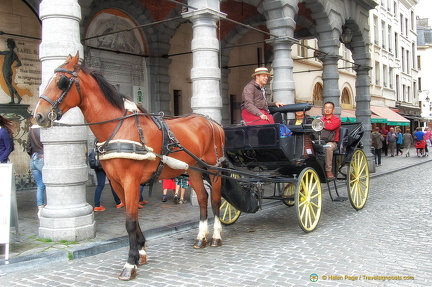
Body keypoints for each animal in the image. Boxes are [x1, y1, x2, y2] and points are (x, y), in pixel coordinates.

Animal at [33, 53, 226, 282]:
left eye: (61, 82)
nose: (38, 116)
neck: (119, 128)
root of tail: (213, 122)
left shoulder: (131, 180)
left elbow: (130, 222)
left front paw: (130, 262)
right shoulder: (116, 182)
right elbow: (131, 217)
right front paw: (140, 251)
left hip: (213, 169)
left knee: (215, 200)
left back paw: (215, 236)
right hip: (195, 169)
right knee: (203, 199)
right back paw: (201, 237)